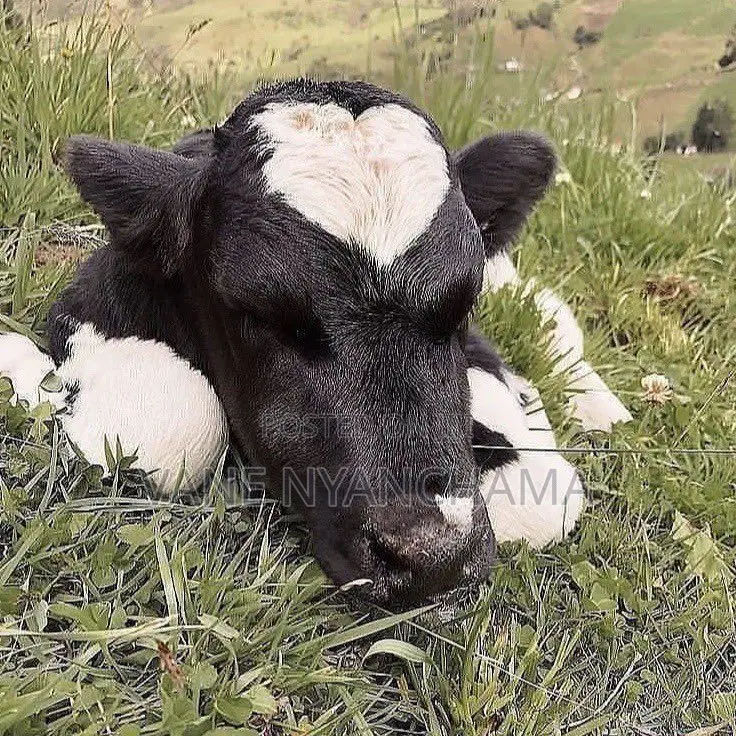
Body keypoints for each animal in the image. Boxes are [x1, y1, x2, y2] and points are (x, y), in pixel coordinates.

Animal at [0, 79, 630, 608]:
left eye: (462, 304)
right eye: (258, 314)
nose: (430, 554)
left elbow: (540, 494)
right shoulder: (92, 303)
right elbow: (168, 425)